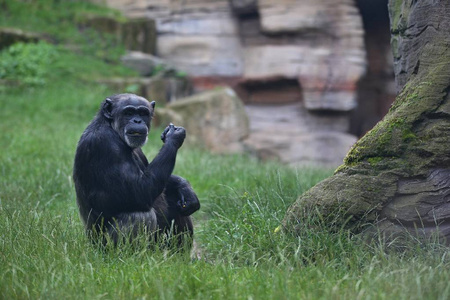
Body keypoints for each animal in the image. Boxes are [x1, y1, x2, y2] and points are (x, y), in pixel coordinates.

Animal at [73, 93, 200, 246]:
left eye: (143, 113)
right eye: (128, 112)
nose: (137, 121)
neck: (111, 128)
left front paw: (185, 188)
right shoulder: (104, 144)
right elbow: (141, 190)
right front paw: (173, 136)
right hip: (103, 245)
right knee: (140, 215)